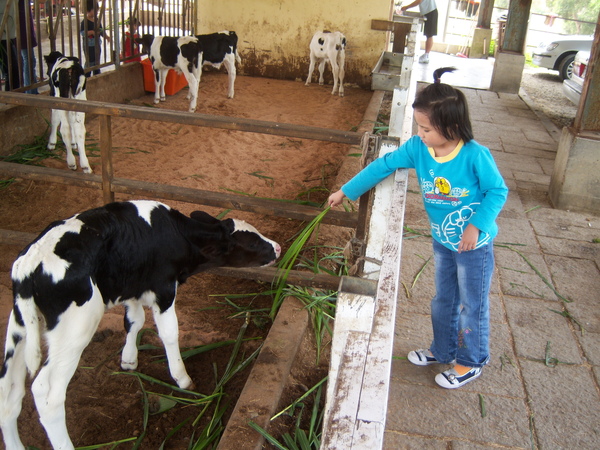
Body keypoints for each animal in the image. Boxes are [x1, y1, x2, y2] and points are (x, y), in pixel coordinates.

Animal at [0, 201, 280, 450]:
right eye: (252, 242)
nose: (277, 247)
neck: (175, 233)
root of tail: (32, 262)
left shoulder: (133, 287)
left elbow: (134, 321)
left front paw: (129, 360)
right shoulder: (164, 288)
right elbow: (169, 333)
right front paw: (182, 378)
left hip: (19, 330)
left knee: (9, 394)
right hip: (74, 331)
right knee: (46, 394)